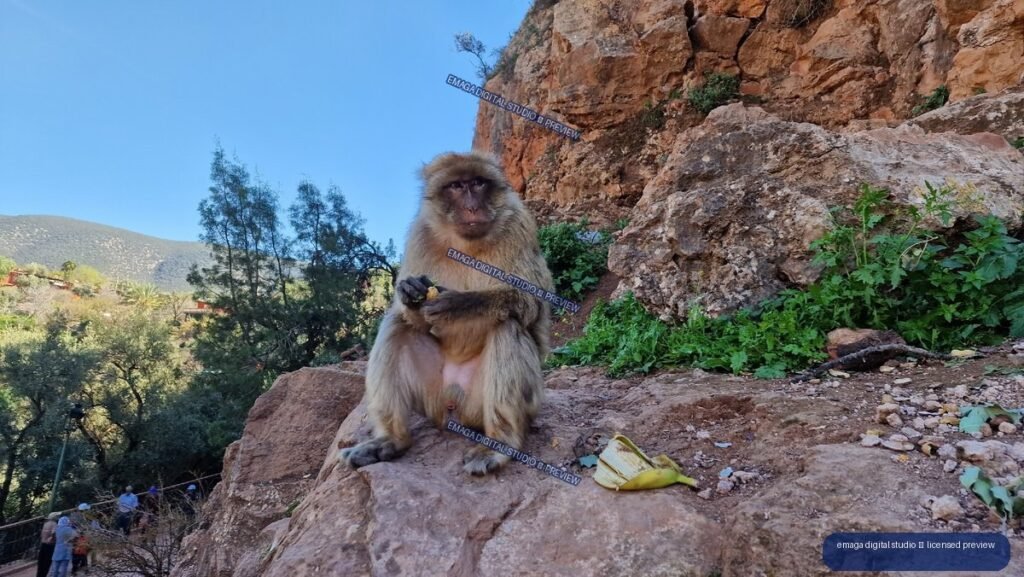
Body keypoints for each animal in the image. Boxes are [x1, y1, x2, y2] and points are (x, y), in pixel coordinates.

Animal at [339, 151, 553, 475]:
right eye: (456, 186)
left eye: (478, 183)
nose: (472, 205)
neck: (466, 242)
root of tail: (454, 407)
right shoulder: (420, 234)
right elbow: (409, 315)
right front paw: (411, 293)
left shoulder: (520, 225)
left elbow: (532, 303)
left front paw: (459, 304)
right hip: (433, 398)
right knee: (396, 324)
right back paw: (391, 440)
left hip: (487, 403)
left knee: (508, 325)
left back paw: (499, 443)